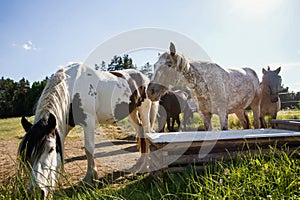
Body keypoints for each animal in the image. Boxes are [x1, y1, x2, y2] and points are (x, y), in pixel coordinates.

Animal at [17, 63, 158, 198]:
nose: (35, 192)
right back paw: (139, 164)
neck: (73, 87)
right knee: (140, 132)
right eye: (26, 153)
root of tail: (144, 77)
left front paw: (90, 178)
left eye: (51, 149)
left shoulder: (88, 122)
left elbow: (88, 148)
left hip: (144, 110)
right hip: (131, 113)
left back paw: (145, 165)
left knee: (146, 133)